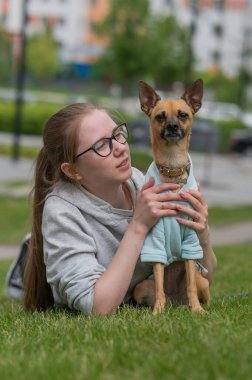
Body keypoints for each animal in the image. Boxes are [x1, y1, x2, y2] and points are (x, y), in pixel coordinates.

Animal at [135, 78, 210, 314]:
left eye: (183, 115)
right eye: (160, 116)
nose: (172, 126)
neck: (172, 167)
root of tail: (176, 303)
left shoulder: (190, 241)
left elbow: (191, 285)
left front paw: (197, 310)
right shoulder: (156, 240)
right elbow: (159, 283)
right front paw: (157, 312)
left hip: (203, 280)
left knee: (198, 287)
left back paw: (194, 306)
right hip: (140, 288)